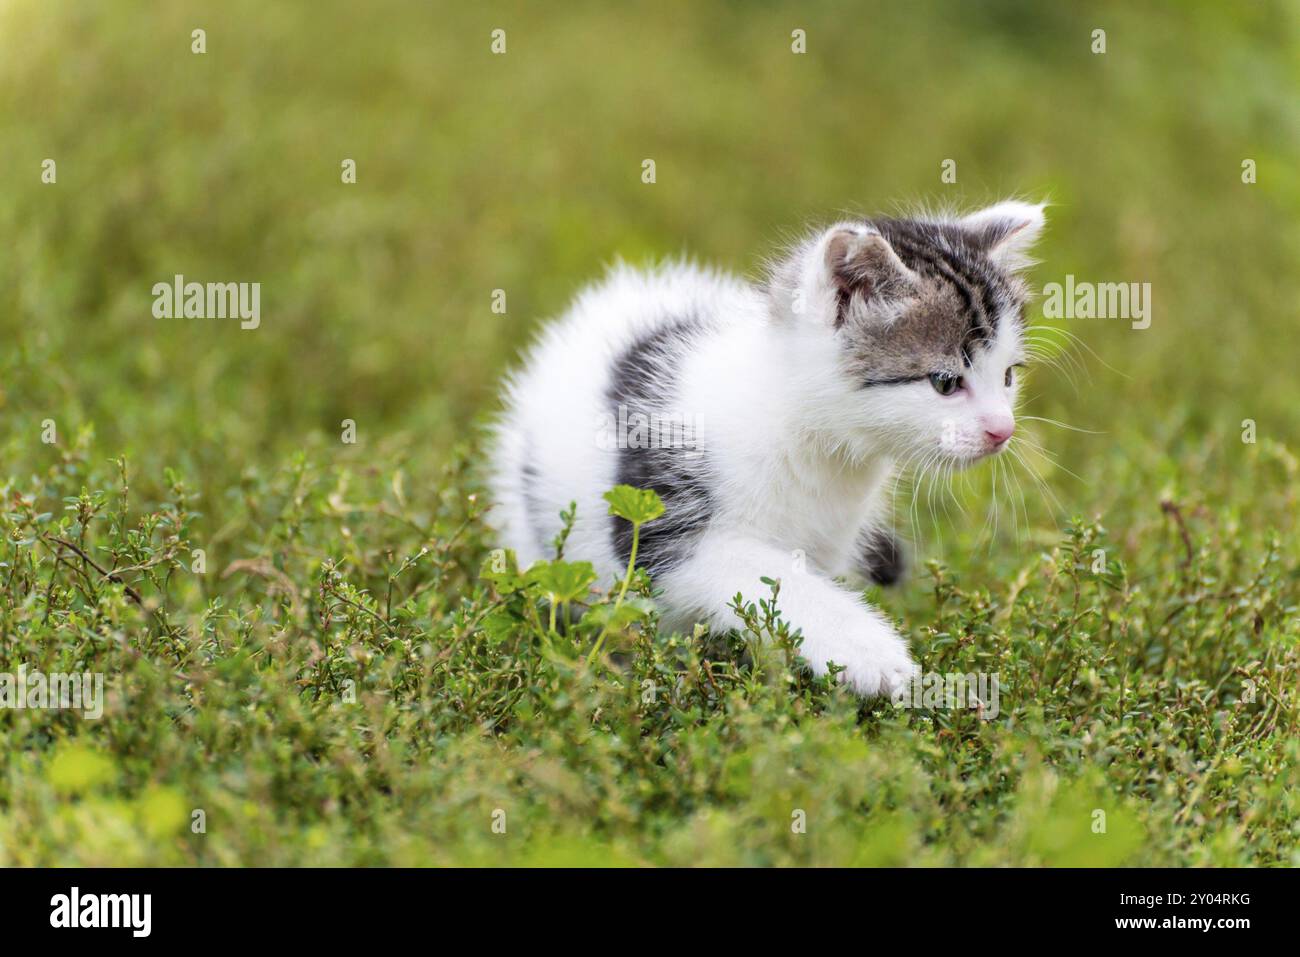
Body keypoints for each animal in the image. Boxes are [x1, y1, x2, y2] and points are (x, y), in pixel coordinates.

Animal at [488, 200, 1045, 696]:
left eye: (1008, 376)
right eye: (946, 382)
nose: (1003, 430)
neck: (813, 444)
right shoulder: (663, 529)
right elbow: (762, 574)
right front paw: (868, 653)